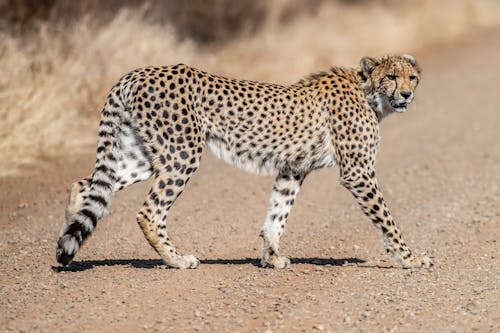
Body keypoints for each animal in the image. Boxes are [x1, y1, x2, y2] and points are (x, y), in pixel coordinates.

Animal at [56, 53, 434, 268]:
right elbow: (387, 221)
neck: (370, 94)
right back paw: (177, 260)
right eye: (391, 77)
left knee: (87, 185)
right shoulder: (358, 173)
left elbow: (277, 214)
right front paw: (411, 258)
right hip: (182, 153)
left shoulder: (292, 168)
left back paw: (65, 240)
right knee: (149, 212)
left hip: (148, 153)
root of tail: (138, 72)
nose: (406, 94)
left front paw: (271, 257)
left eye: (412, 77)